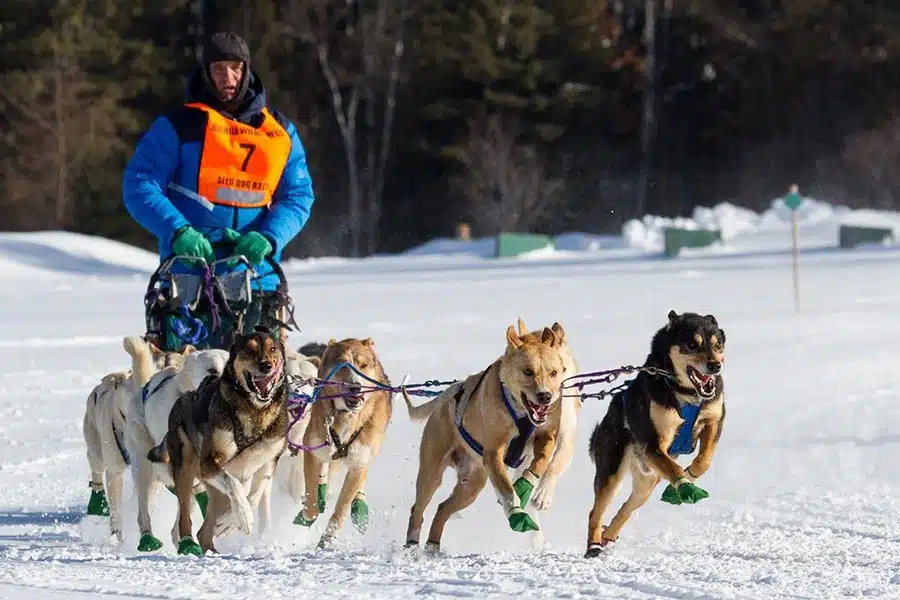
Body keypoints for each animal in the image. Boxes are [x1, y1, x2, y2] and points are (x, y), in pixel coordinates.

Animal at [294, 338, 392, 548]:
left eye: (363, 365)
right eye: (343, 365)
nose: (356, 387)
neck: (346, 417)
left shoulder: (358, 464)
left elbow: (341, 509)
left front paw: (327, 540)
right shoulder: (313, 452)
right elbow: (312, 506)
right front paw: (307, 514)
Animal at [404, 322, 568, 552]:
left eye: (554, 372)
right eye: (528, 371)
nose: (545, 396)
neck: (521, 412)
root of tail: (444, 398)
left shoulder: (546, 435)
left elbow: (541, 461)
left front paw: (525, 485)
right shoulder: (493, 453)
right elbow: (506, 489)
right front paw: (516, 513)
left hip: (472, 486)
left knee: (442, 509)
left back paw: (433, 545)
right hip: (432, 472)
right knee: (418, 508)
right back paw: (411, 544)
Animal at [584, 310, 724, 556]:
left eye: (718, 345)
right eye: (692, 345)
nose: (715, 365)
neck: (685, 394)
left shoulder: (714, 420)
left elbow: (704, 460)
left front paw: (688, 476)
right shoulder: (653, 445)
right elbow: (674, 467)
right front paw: (684, 486)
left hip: (647, 482)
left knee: (626, 508)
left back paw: (608, 533)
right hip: (612, 472)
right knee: (596, 512)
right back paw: (593, 545)